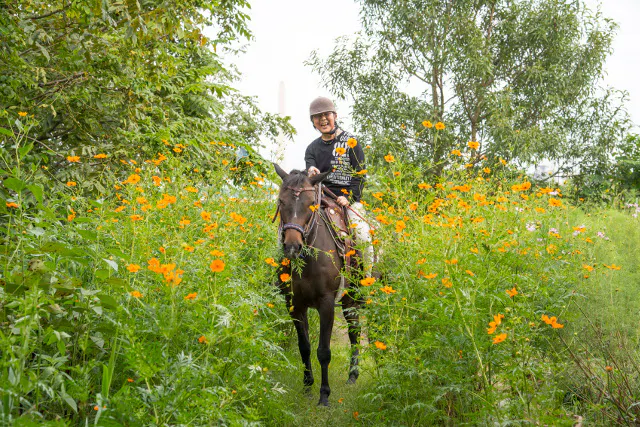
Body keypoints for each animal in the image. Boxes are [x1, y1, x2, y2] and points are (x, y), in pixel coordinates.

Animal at [273, 164, 362, 406]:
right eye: (281, 200)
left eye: (311, 202)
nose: (292, 246)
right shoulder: (294, 304)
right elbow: (304, 347)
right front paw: (307, 386)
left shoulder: (327, 304)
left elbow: (323, 351)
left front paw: (324, 395)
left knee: (355, 332)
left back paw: (353, 375)